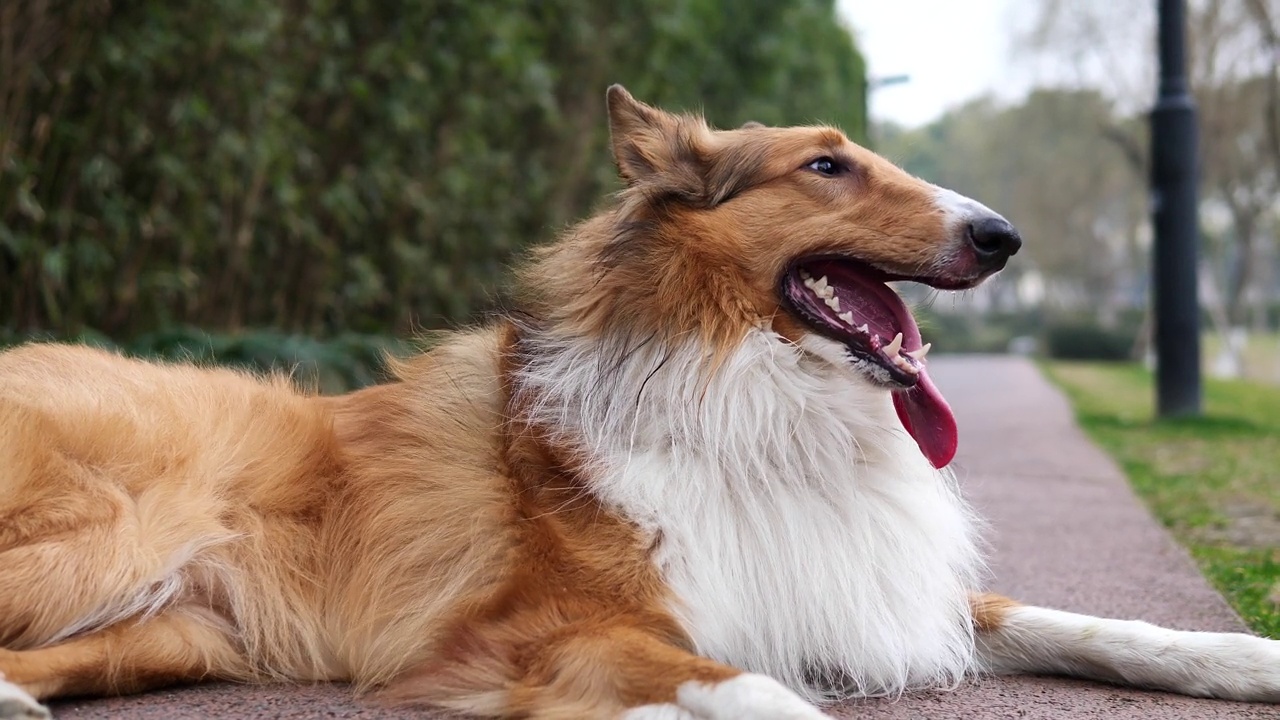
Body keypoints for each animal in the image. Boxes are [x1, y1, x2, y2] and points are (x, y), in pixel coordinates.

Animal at [2, 85, 1280, 717]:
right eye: (825, 165)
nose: (1001, 236)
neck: (753, 401)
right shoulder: (537, 634)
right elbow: (756, 694)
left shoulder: (853, 579)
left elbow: (1082, 621)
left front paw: (1243, 660)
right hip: (100, 544)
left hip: (174, 629)